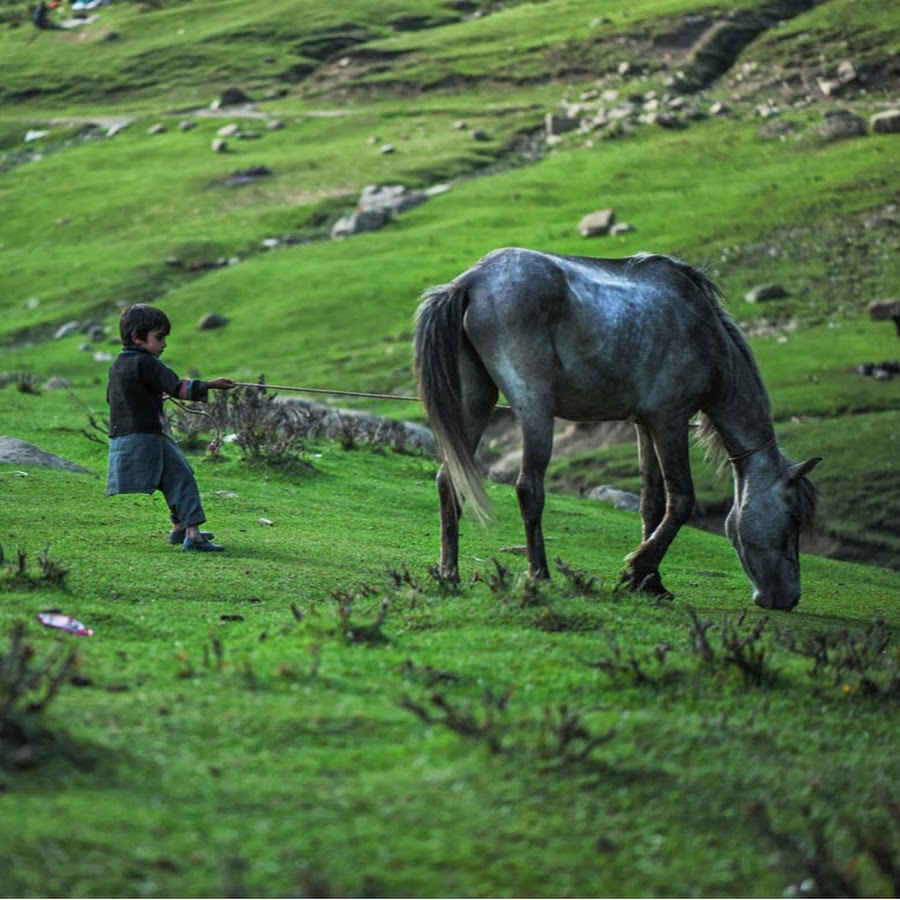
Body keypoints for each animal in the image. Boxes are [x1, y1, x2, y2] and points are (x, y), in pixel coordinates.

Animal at [413, 247, 821, 611]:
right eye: (795, 518)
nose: (789, 598)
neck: (706, 335)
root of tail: (471, 280)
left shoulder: (644, 426)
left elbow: (651, 504)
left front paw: (652, 583)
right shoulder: (670, 422)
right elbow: (681, 501)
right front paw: (637, 570)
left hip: (474, 404)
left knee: (448, 481)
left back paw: (449, 574)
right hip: (535, 410)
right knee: (528, 488)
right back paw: (540, 576)